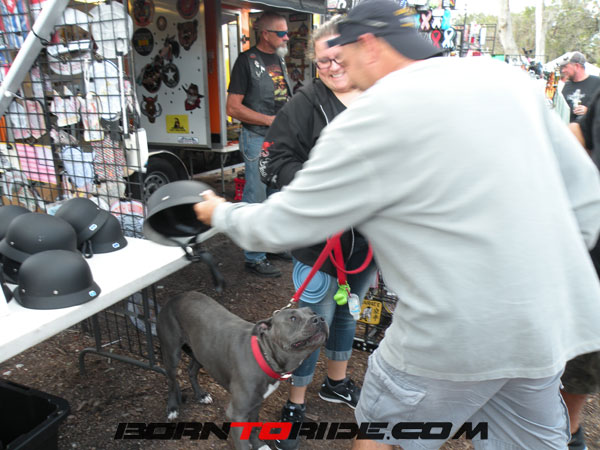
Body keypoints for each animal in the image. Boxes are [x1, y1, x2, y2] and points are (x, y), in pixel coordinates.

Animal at [157, 291, 328, 450]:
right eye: (293, 318)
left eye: (313, 312)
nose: (320, 318)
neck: (264, 354)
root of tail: (176, 297)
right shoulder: (237, 414)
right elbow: (243, 443)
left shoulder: (255, 403)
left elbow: (253, 426)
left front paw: (259, 445)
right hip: (172, 353)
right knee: (171, 381)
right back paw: (172, 408)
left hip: (201, 352)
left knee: (191, 370)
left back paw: (201, 395)